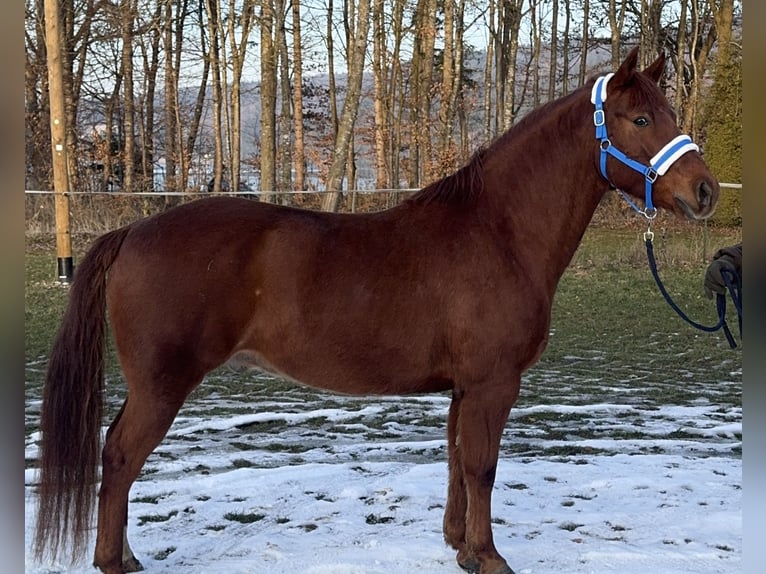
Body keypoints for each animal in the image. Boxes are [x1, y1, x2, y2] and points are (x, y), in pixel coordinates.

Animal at [33, 47, 718, 574]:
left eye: (670, 112)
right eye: (640, 117)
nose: (705, 191)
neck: (498, 230)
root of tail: (132, 232)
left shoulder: (464, 388)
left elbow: (456, 460)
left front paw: (459, 546)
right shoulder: (494, 382)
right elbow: (483, 466)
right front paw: (490, 556)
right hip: (162, 385)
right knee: (122, 457)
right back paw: (114, 561)